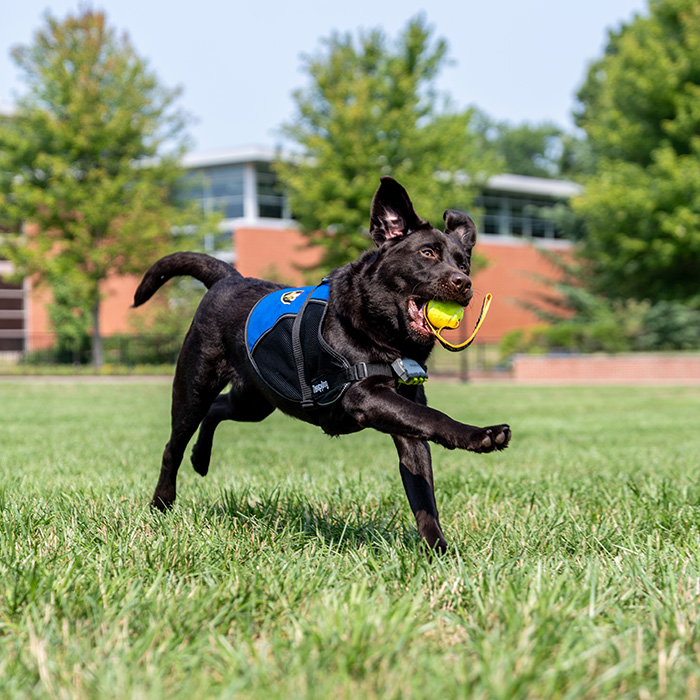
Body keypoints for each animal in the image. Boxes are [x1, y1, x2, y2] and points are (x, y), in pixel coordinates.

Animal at [134, 176, 512, 552]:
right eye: (427, 253)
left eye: (463, 263)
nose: (464, 283)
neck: (386, 336)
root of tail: (230, 278)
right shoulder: (364, 396)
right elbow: (433, 418)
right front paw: (481, 435)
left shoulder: (407, 425)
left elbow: (423, 495)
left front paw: (438, 551)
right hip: (194, 387)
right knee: (174, 444)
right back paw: (161, 503)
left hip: (255, 399)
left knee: (218, 409)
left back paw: (201, 458)